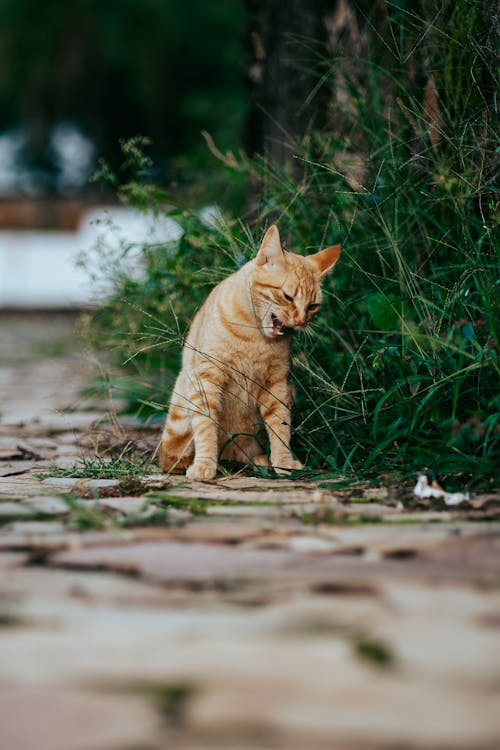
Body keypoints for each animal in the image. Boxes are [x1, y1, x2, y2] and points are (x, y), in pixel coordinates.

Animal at [159, 225, 340, 482]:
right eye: (287, 296)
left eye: (312, 306)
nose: (300, 321)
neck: (255, 336)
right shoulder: (206, 378)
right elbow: (205, 426)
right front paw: (204, 464)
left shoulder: (278, 384)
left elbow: (280, 426)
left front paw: (283, 462)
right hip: (181, 416)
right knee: (173, 458)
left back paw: (258, 461)